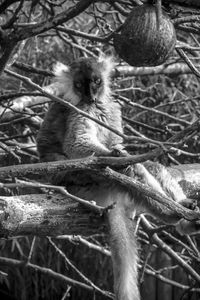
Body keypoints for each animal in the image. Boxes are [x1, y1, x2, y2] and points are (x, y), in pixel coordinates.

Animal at [36, 55, 199, 300]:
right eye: (80, 84)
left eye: (96, 81)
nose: (91, 96)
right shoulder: (80, 108)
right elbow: (77, 145)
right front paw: (114, 156)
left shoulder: (112, 108)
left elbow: (117, 140)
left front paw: (120, 151)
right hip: (83, 180)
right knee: (131, 170)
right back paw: (171, 213)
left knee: (149, 167)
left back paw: (183, 211)